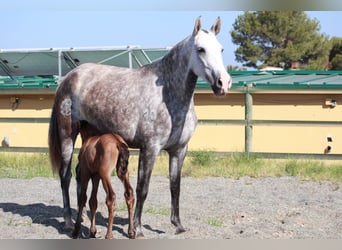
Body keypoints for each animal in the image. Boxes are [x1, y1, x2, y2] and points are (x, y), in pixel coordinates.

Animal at [48, 15, 232, 238]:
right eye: (201, 49)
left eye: (221, 49)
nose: (224, 83)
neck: (169, 97)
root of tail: (67, 78)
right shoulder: (150, 149)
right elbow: (142, 189)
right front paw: (137, 228)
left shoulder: (179, 150)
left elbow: (175, 187)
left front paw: (178, 225)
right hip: (67, 135)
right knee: (65, 176)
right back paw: (68, 221)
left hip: (89, 138)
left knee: (79, 175)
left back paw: (81, 217)